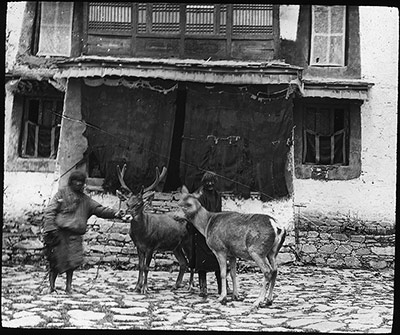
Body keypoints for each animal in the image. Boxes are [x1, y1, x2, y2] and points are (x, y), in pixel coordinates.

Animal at [115, 167, 194, 296]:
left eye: (139, 204)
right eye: (127, 203)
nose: (126, 216)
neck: (142, 234)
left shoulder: (151, 245)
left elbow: (147, 267)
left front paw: (145, 288)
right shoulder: (139, 246)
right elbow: (140, 266)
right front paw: (136, 287)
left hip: (189, 242)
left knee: (191, 262)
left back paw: (190, 287)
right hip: (176, 246)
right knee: (183, 263)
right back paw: (175, 286)